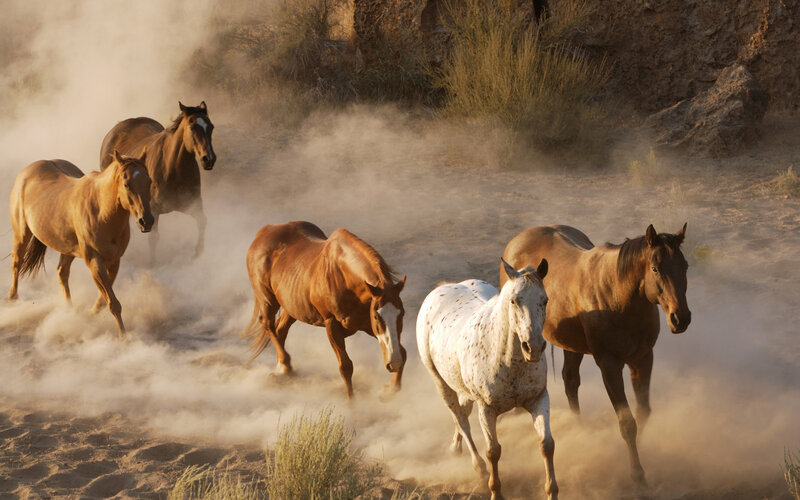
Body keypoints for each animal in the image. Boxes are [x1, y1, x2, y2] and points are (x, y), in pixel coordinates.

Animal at [8, 151, 154, 337]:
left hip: (67, 248)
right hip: (21, 235)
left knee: (62, 273)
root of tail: (27, 171)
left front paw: (89, 316)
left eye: (149, 181)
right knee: (16, 263)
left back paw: (69, 311)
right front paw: (124, 337)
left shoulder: (114, 261)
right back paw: (13, 300)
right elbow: (113, 303)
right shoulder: (95, 261)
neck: (101, 211)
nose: (146, 221)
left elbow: (104, 300)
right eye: (127, 184)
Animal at [99, 101, 216, 262]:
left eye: (211, 127)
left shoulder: (193, 204)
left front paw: (198, 253)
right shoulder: (152, 210)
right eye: (192, 127)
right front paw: (152, 262)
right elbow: (153, 238)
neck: (173, 169)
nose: (209, 159)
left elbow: (202, 221)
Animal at [242, 221, 407, 399]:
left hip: (291, 307)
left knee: (280, 329)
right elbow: (346, 367)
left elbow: (403, 352)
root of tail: (264, 231)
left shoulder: (366, 325)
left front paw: (390, 390)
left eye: (402, 314)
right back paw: (285, 365)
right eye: (377, 316)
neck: (344, 277)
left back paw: (283, 369)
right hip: (268, 300)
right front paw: (352, 403)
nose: (393, 363)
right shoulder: (332, 326)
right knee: (268, 324)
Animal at [417, 258, 557, 500]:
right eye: (514, 300)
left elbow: (546, 444)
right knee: (461, 419)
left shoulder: (539, 399)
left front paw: (552, 492)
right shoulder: (486, 408)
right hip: (441, 383)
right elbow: (493, 451)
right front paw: (495, 492)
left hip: (462, 388)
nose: (534, 347)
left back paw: (455, 447)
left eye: (544, 300)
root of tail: (441, 288)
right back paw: (478, 467)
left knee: (462, 413)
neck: (509, 361)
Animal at [501, 224, 691, 486]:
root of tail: (517, 240)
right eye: (655, 268)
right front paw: (637, 472)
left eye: (685, 266)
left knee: (570, 381)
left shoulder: (642, 359)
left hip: (572, 346)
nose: (680, 318)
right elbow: (627, 422)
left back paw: (579, 428)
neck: (619, 298)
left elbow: (643, 413)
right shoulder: (609, 365)